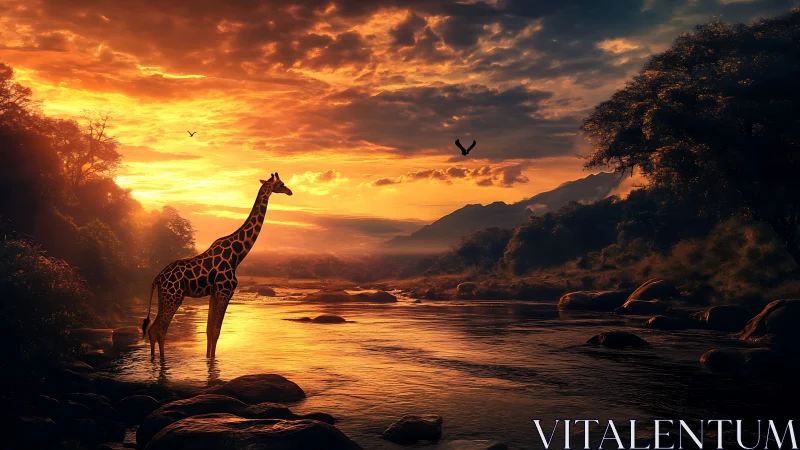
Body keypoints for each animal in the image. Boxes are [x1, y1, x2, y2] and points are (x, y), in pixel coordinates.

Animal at [141, 172, 292, 359]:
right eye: (281, 183)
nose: (290, 191)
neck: (237, 255)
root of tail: (157, 278)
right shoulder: (225, 292)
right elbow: (216, 331)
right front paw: (213, 359)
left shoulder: (214, 294)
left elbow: (208, 330)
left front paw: (208, 359)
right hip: (174, 296)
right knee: (161, 330)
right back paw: (162, 361)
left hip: (164, 296)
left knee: (152, 328)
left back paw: (154, 360)